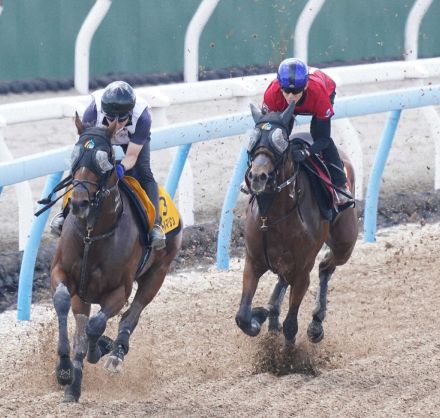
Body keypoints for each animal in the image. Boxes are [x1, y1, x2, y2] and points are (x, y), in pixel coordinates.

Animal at [49, 116, 182, 404]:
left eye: (104, 160)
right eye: (75, 155)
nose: (78, 203)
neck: (93, 235)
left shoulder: (119, 290)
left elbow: (96, 326)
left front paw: (98, 350)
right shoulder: (64, 274)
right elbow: (65, 305)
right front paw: (65, 370)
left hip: (158, 271)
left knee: (132, 314)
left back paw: (116, 353)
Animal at [237, 103, 358, 344]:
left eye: (281, 141)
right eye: (253, 140)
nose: (257, 176)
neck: (271, 218)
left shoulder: (303, 270)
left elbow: (291, 326)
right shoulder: (253, 261)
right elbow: (243, 317)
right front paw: (259, 315)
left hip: (345, 244)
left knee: (325, 267)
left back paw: (316, 322)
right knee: (287, 277)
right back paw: (273, 311)